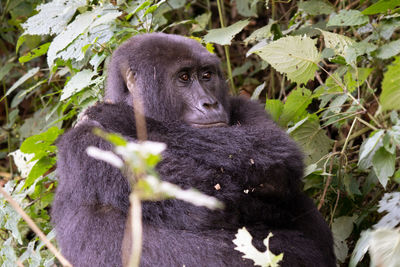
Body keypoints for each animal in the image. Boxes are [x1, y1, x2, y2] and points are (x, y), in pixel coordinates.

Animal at [51, 32, 336, 266]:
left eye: (207, 75)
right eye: (184, 78)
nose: (210, 104)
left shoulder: (244, 106)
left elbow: (274, 151)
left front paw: (119, 116)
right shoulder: (87, 144)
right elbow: (204, 200)